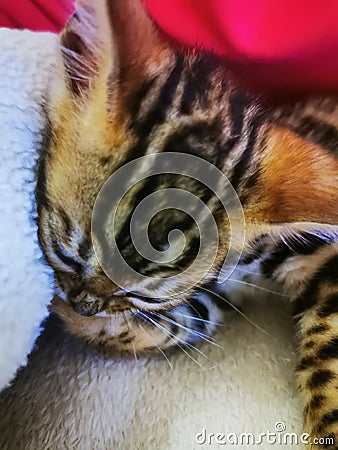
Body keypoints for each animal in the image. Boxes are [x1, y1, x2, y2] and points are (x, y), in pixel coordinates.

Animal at [37, 0, 338, 444]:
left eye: (144, 296)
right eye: (66, 254)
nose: (83, 305)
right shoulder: (217, 288)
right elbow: (189, 319)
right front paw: (87, 323)